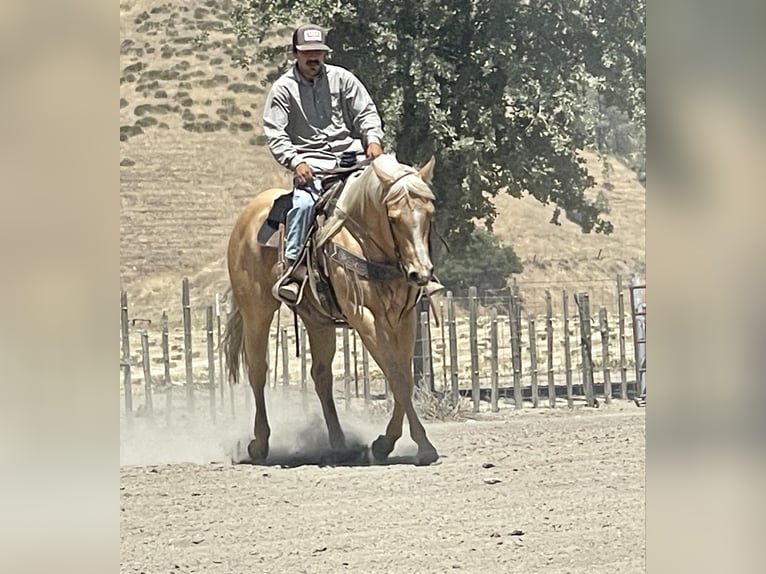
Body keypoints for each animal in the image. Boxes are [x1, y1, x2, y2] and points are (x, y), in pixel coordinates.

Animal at [225, 154, 440, 468]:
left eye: (429, 214)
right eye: (393, 217)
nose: (420, 273)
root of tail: (246, 218)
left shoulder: (405, 317)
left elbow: (405, 378)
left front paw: (384, 444)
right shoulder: (364, 317)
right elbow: (396, 376)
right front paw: (423, 446)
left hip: (317, 319)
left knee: (321, 374)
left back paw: (339, 444)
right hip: (256, 310)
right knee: (257, 371)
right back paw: (259, 444)